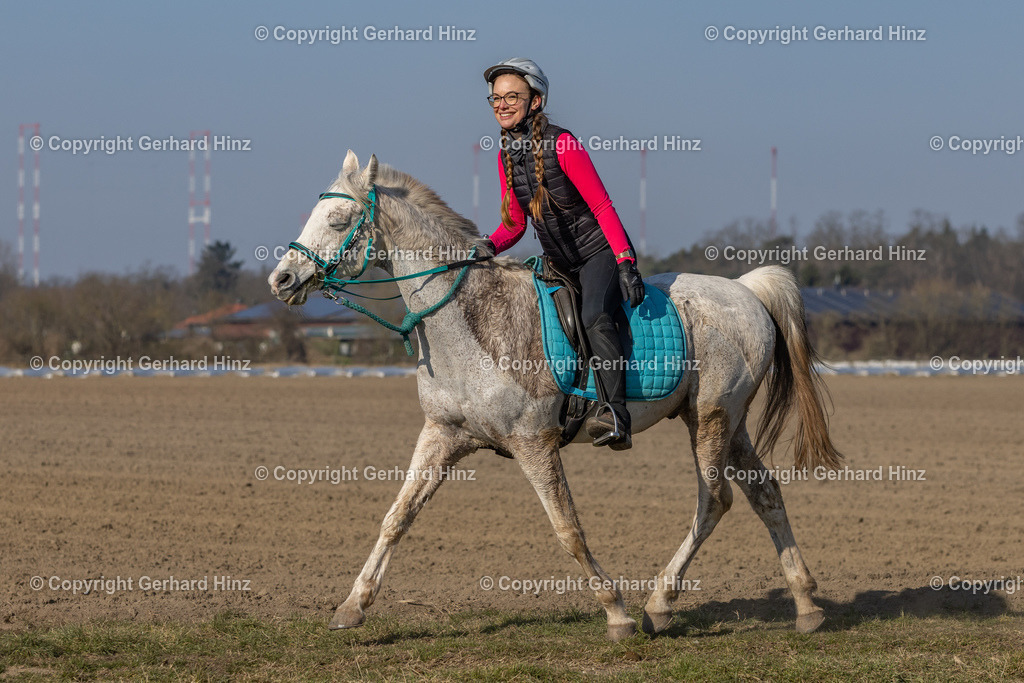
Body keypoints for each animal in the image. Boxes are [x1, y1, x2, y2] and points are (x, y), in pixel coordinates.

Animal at [270, 149, 839, 643]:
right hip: (731, 422)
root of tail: (746, 290)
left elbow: (567, 529)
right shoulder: (443, 435)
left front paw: (617, 613)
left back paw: (658, 604)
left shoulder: (534, 443)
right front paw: (352, 606)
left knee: (714, 500)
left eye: (338, 220)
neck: (468, 319)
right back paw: (806, 605)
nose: (282, 279)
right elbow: (397, 517)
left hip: (710, 418)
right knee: (765, 494)